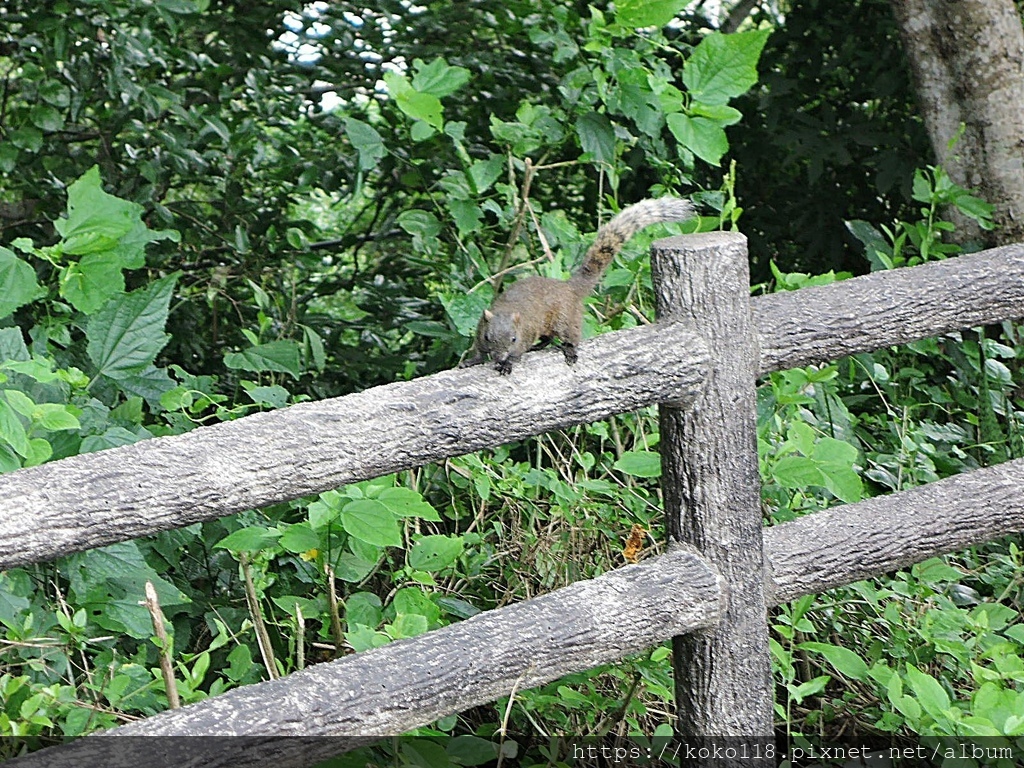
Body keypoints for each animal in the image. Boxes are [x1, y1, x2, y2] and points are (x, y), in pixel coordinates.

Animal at [462, 198, 696, 376]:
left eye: (513, 338)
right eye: (487, 337)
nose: (499, 357)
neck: (507, 310)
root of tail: (569, 288)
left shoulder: (526, 333)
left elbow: (518, 354)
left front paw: (508, 364)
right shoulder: (480, 331)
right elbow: (478, 352)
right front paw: (472, 361)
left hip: (566, 319)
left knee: (569, 336)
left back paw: (570, 351)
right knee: (548, 337)